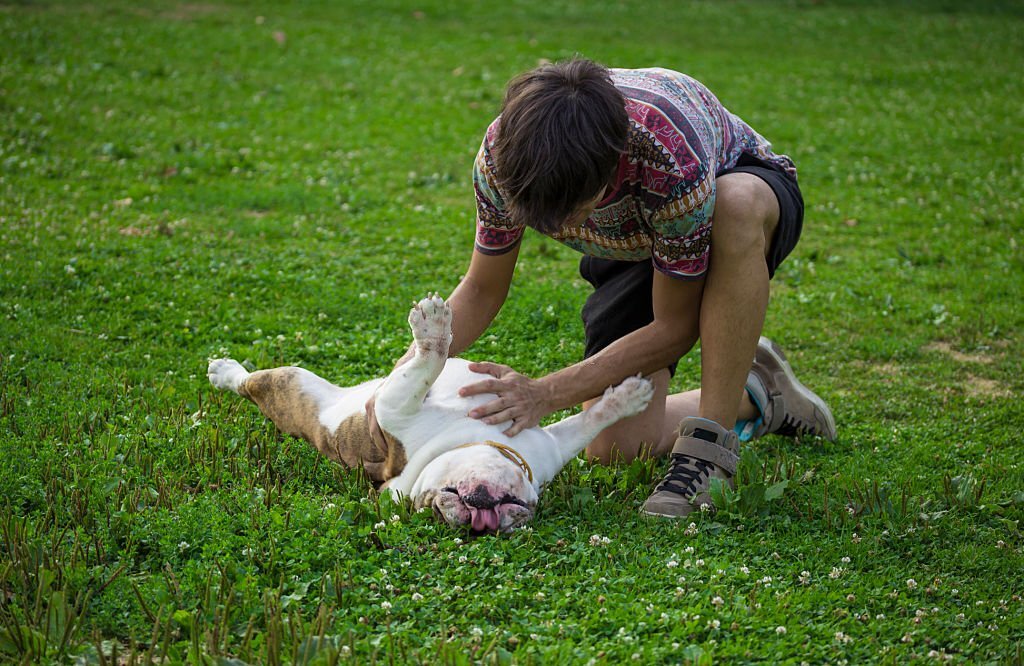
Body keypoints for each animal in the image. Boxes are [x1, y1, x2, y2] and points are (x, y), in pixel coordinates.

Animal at [208, 293, 651, 532]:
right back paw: (224, 371)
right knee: (250, 383)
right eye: (435, 506)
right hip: (296, 386)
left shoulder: (554, 445)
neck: (471, 438)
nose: (481, 521)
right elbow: (427, 365)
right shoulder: (395, 407)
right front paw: (435, 329)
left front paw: (628, 397)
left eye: (519, 513)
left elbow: (589, 421)